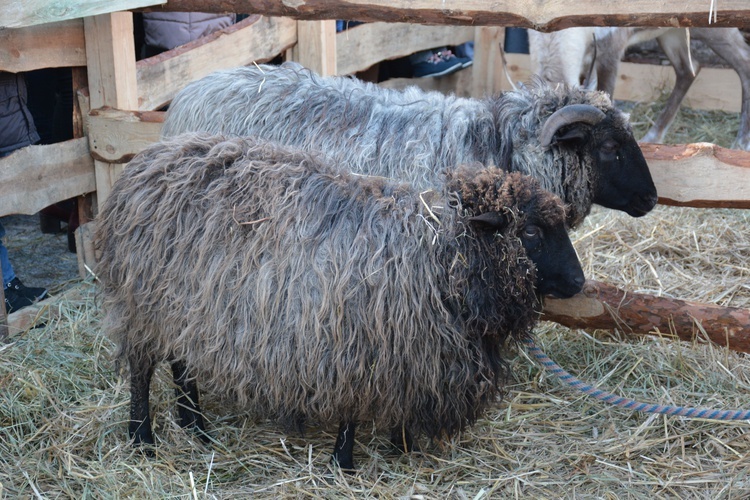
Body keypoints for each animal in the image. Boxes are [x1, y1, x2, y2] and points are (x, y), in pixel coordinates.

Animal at [95, 132, 588, 468]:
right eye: (530, 231)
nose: (579, 282)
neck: (438, 254)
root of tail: (146, 160)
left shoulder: (406, 352)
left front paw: (402, 447)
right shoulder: (352, 343)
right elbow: (351, 410)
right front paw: (343, 462)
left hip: (182, 306)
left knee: (181, 361)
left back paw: (194, 425)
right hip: (143, 304)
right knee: (141, 368)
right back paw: (142, 437)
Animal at [528, 27, 750, 149]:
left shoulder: (611, 51)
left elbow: (606, 96)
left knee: (743, 63)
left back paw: (741, 143)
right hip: (671, 32)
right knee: (688, 69)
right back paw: (653, 136)